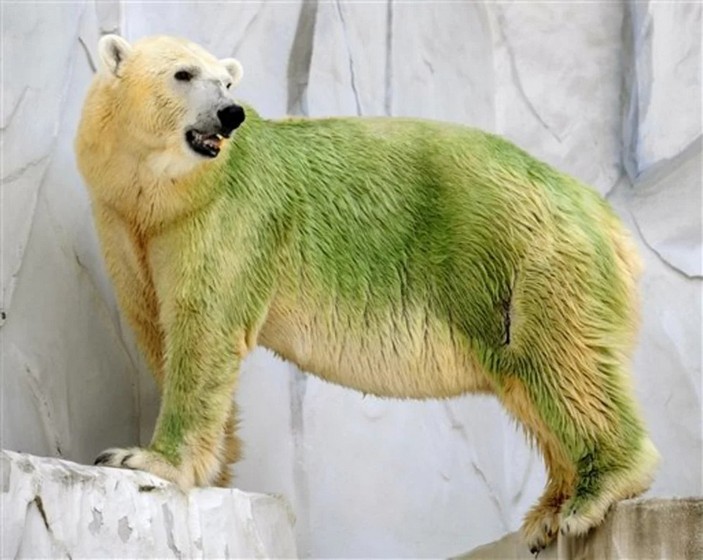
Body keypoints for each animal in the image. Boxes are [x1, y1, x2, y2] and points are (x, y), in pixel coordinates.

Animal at [75, 34, 659, 553]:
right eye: (183, 74)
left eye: (226, 80)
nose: (229, 114)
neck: (163, 193)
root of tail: (604, 215)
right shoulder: (127, 223)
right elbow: (154, 324)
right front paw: (218, 465)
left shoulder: (228, 214)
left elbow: (203, 328)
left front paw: (143, 460)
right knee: (531, 379)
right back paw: (548, 513)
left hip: (526, 254)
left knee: (563, 363)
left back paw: (594, 493)